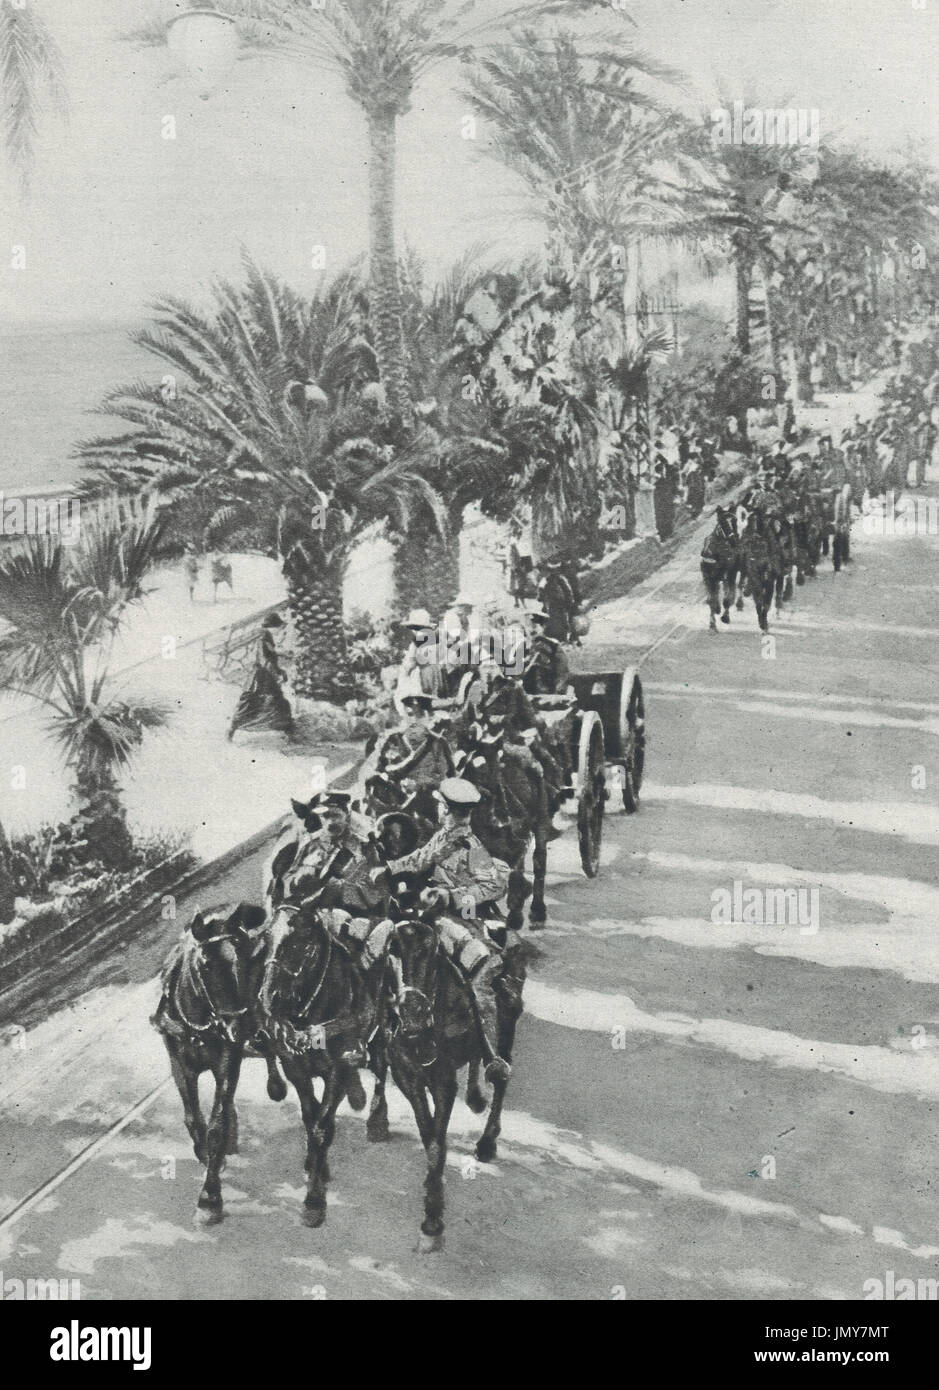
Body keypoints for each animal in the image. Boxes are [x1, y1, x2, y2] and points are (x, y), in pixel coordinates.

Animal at [151, 906, 286, 1223]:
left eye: (246, 959)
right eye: (206, 966)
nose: (239, 1025)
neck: (200, 1025)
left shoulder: (228, 1061)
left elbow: (216, 1126)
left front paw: (209, 1197)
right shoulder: (179, 1064)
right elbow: (193, 1118)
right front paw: (203, 1151)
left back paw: (275, 1085)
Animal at [258, 895, 375, 1223]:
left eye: (302, 943)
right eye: (265, 939)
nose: (267, 1001)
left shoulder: (337, 1067)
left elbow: (323, 1127)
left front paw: (314, 1200)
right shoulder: (295, 1069)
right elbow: (310, 1119)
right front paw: (315, 1166)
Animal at [380, 906, 527, 1256]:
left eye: (432, 950)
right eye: (392, 949)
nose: (413, 1013)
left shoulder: (443, 1083)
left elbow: (436, 1145)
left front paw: (432, 1222)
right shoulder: (407, 1078)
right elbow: (427, 1135)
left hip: (507, 1029)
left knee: (502, 1076)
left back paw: (487, 1141)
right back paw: (475, 1096)